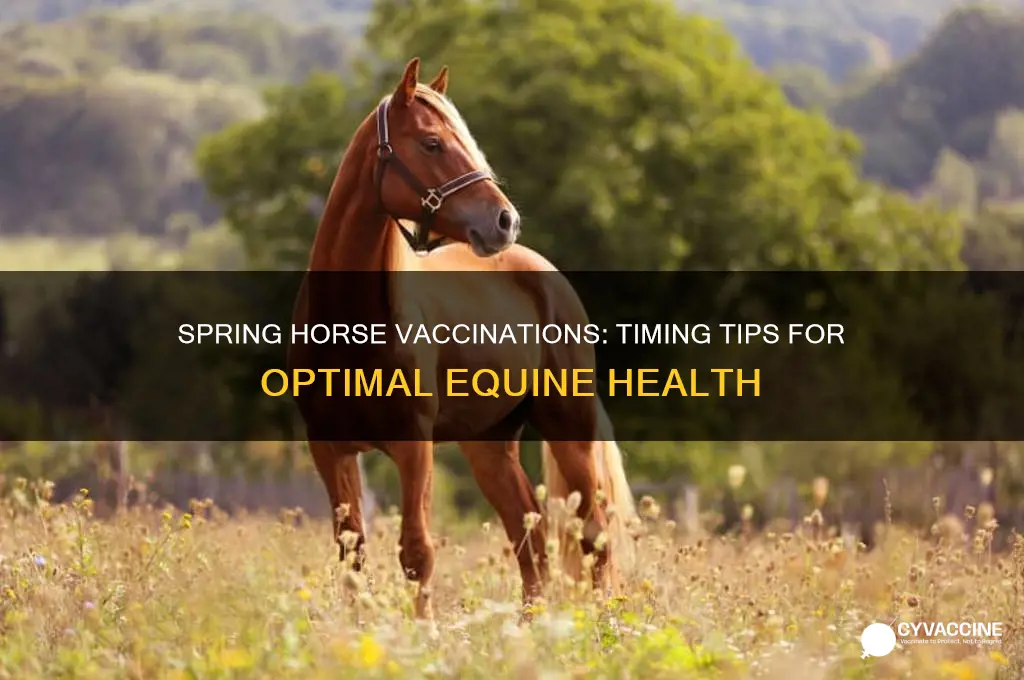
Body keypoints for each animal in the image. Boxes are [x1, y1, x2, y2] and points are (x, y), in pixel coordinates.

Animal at [289, 58, 638, 620]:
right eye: (432, 143)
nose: (504, 221)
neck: (351, 324)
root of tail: (543, 272)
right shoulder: (329, 447)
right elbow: (352, 555)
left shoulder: (414, 446)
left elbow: (417, 552)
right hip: (489, 446)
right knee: (530, 542)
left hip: (570, 429)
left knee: (593, 536)